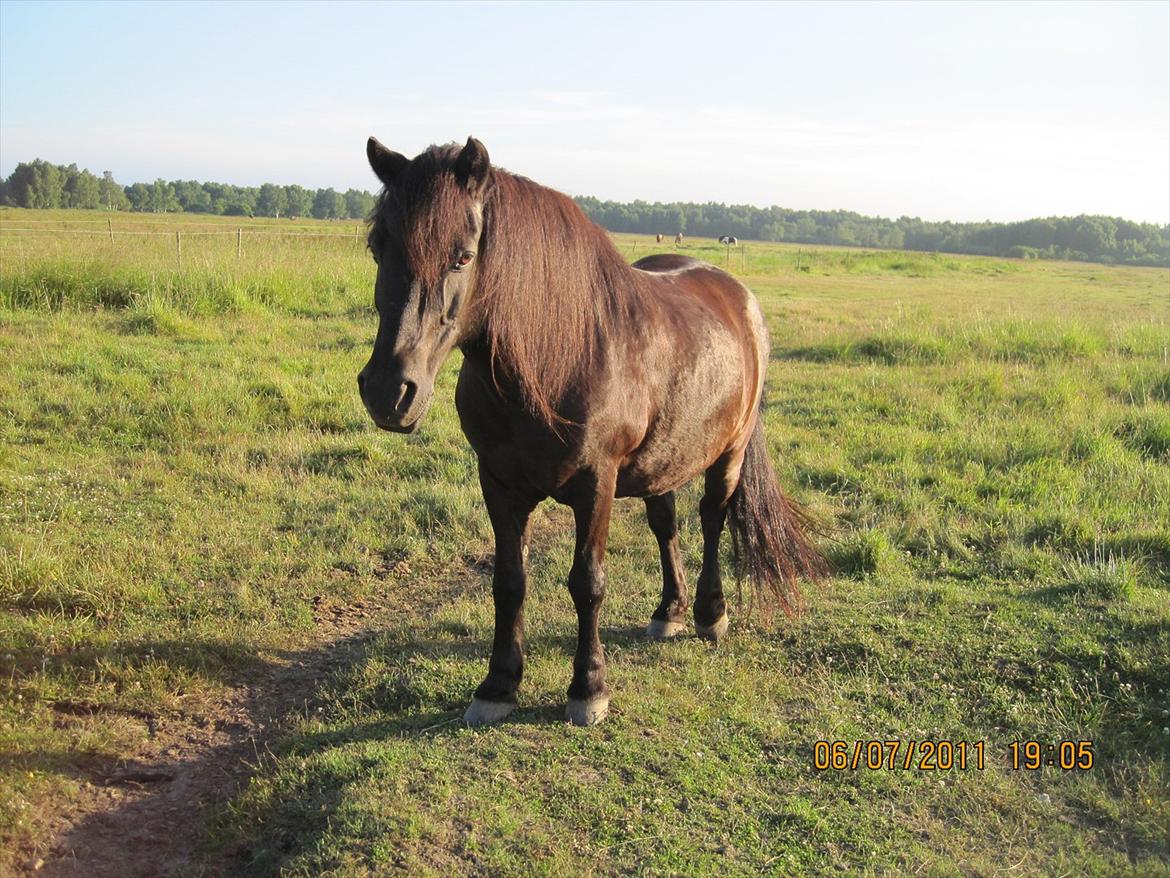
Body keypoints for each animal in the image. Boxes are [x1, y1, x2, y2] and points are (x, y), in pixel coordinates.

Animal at [358, 137, 823, 730]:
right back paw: (668, 611)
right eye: (378, 248)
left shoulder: (596, 482)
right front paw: (499, 685)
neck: (557, 358)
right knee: (665, 524)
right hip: (660, 461)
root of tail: (736, 293)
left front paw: (589, 688)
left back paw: (708, 612)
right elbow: (509, 582)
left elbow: (588, 582)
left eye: (462, 256)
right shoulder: (499, 484)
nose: (388, 391)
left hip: (730, 453)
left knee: (712, 520)